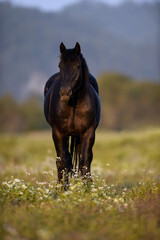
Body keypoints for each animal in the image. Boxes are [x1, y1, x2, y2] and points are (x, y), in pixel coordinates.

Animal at [43, 42, 101, 182]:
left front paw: (88, 186)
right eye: (60, 66)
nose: (65, 92)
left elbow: (85, 161)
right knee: (65, 160)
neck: (74, 104)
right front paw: (62, 187)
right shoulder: (58, 133)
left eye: (77, 66)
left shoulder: (88, 132)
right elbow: (63, 161)